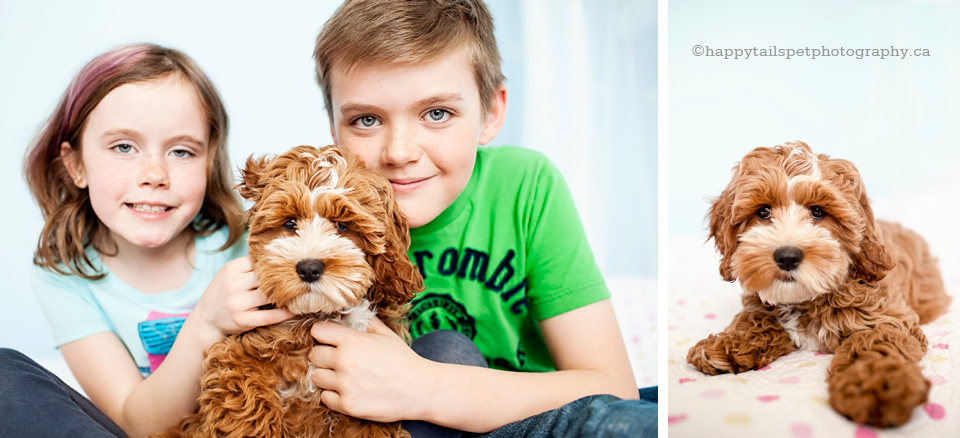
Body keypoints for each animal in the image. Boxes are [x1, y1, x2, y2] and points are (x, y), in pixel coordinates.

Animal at [159, 146, 422, 438]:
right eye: (289, 223)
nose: (309, 268)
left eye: (342, 226)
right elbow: (245, 398)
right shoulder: (237, 351)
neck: (317, 315)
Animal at [688, 141, 948, 428]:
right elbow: (754, 318)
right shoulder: (759, 304)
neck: (806, 299)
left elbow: (875, 341)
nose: (787, 256)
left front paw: (875, 384)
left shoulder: (889, 317)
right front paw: (727, 343)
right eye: (763, 211)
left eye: (818, 212)